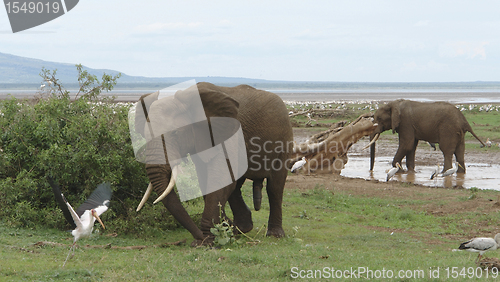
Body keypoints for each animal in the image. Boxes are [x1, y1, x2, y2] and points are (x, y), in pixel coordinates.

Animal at [133, 81, 292, 245]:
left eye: (175, 133)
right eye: (145, 136)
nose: (198, 239)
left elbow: (220, 179)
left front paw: (208, 241)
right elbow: (207, 180)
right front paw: (220, 231)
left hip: (283, 138)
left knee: (275, 187)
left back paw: (274, 235)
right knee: (236, 187)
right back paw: (239, 229)